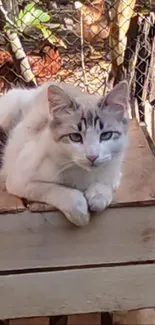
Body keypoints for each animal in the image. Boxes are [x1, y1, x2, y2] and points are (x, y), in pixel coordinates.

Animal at [0, 79, 129, 225]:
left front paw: (98, 196)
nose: (92, 157)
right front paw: (79, 210)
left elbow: (108, 182)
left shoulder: (115, 168)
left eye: (106, 135)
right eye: (75, 137)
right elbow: (52, 189)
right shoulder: (18, 180)